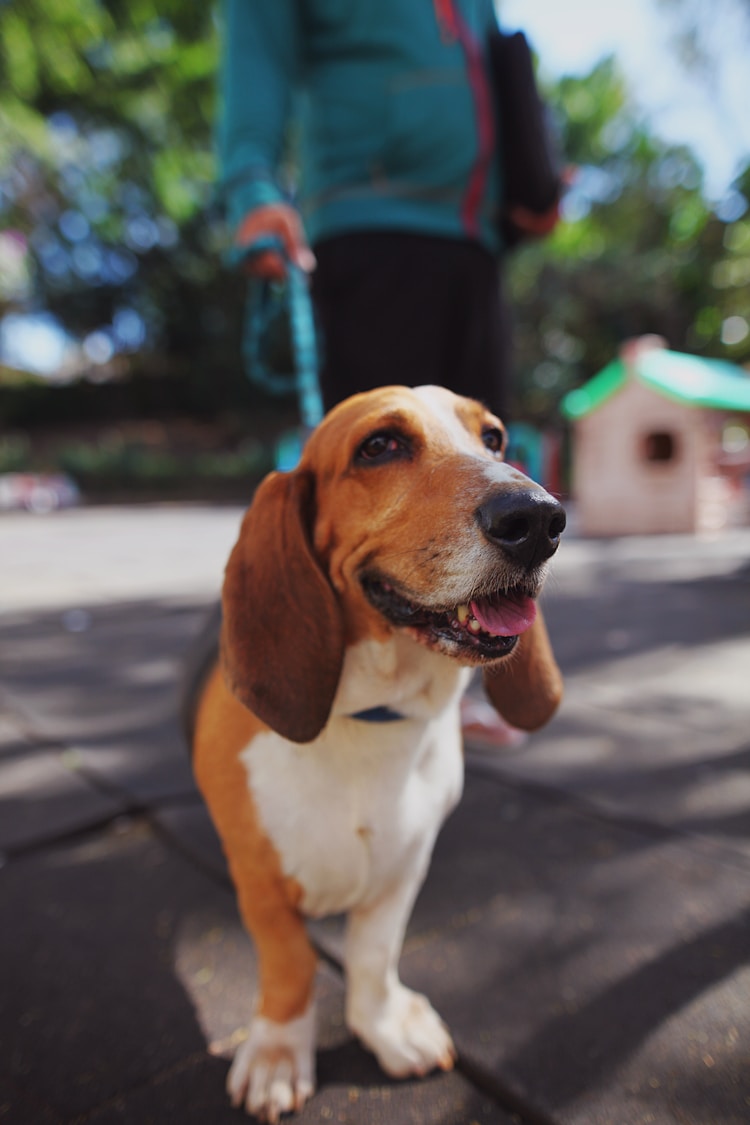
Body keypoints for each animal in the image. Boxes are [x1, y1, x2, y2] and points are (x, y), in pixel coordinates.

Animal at [186, 384, 562, 1116]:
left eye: (495, 439)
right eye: (379, 446)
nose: (539, 518)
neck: (369, 716)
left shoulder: (404, 864)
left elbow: (372, 954)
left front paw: (384, 1027)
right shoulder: (261, 882)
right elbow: (292, 962)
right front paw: (278, 1053)